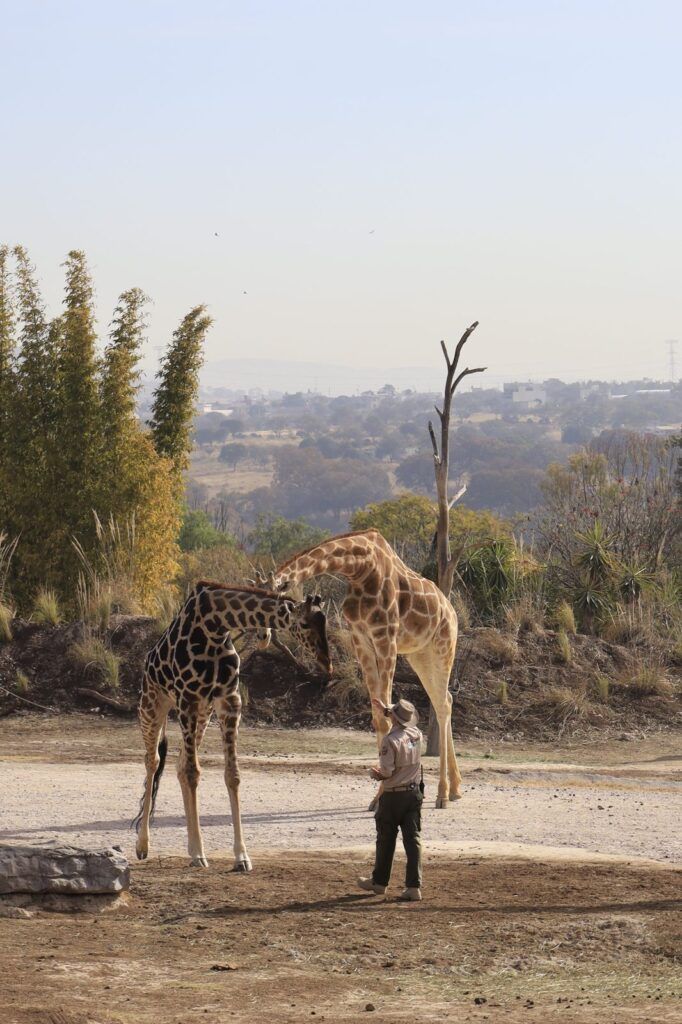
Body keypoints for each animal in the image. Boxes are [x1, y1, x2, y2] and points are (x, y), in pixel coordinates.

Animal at [132, 581, 329, 868]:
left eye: (325, 622)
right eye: (304, 623)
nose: (327, 663)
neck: (215, 624)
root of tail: (147, 660)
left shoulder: (229, 700)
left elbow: (232, 775)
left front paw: (240, 856)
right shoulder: (187, 699)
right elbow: (193, 773)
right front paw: (200, 854)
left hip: (202, 713)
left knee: (179, 765)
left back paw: (189, 846)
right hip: (152, 705)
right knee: (153, 761)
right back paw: (143, 845)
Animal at [272, 528, 462, 806]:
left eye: (303, 622)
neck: (358, 569)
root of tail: (453, 612)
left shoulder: (386, 638)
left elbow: (387, 713)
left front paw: (383, 793)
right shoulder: (360, 638)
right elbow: (377, 717)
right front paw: (377, 797)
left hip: (444, 648)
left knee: (443, 703)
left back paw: (443, 794)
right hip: (420, 655)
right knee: (443, 700)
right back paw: (455, 788)